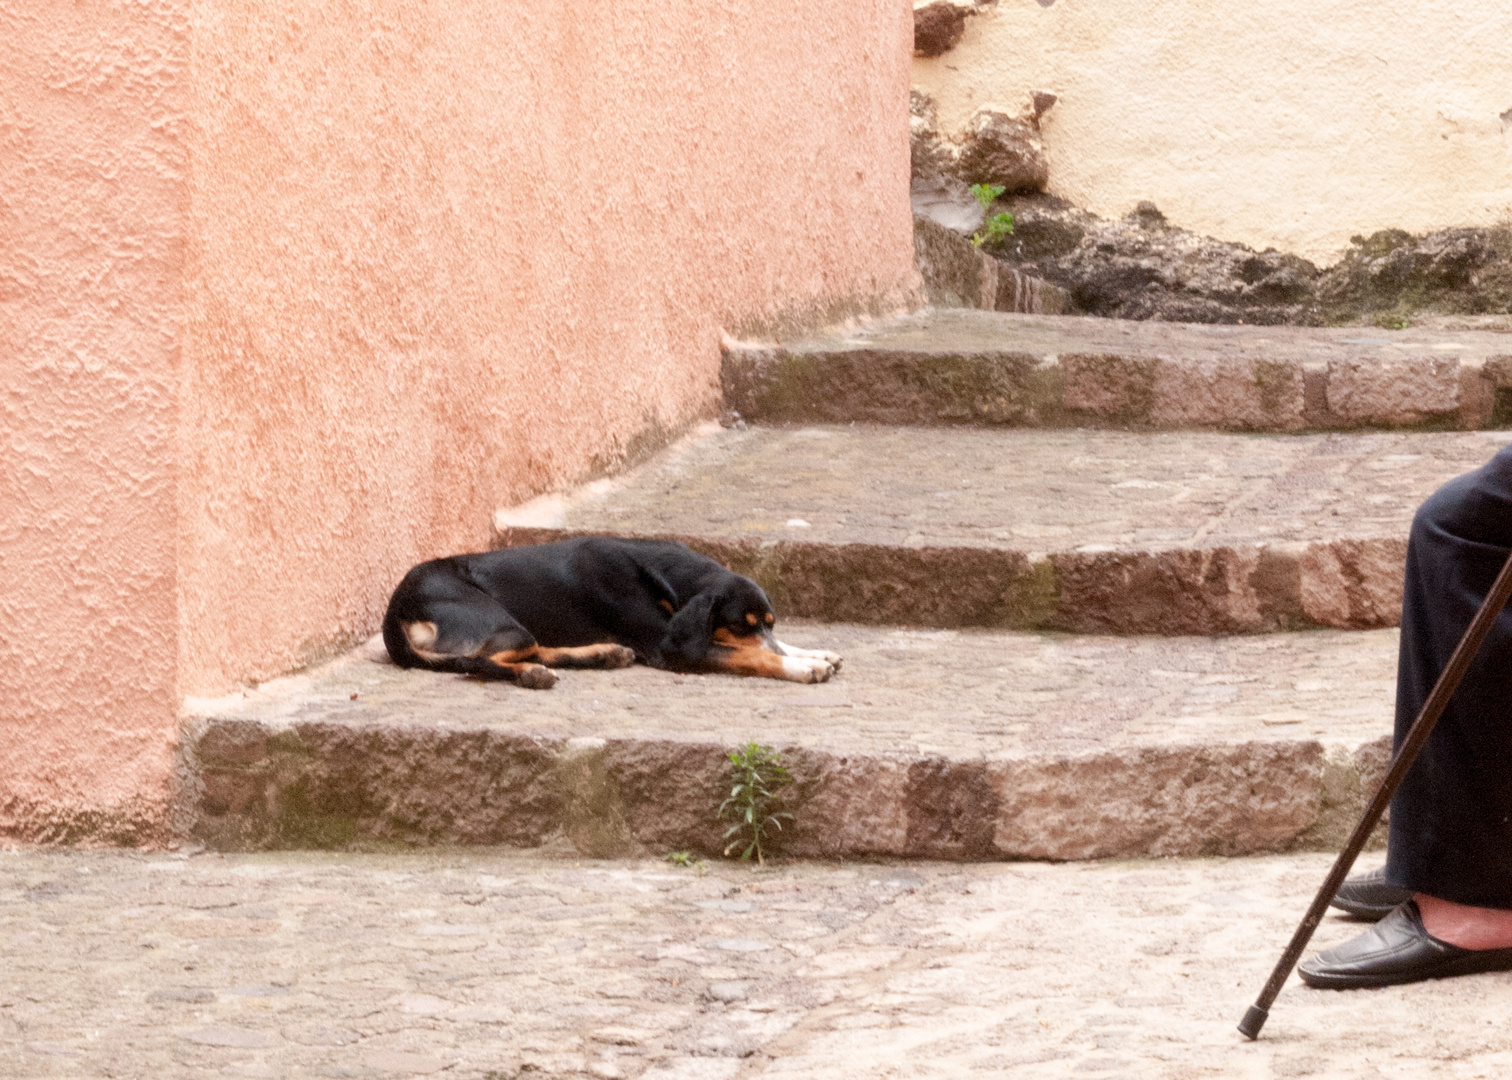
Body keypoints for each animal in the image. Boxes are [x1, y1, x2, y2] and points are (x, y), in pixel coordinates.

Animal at [381, 535, 840, 686]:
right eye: (739, 626)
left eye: (767, 622)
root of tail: (395, 607)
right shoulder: (668, 646)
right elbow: (749, 655)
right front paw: (803, 667)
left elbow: (776, 646)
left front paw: (814, 653)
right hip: (500, 622)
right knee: (476, 661)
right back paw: (532, 675)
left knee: (533, 649)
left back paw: (603, 653)